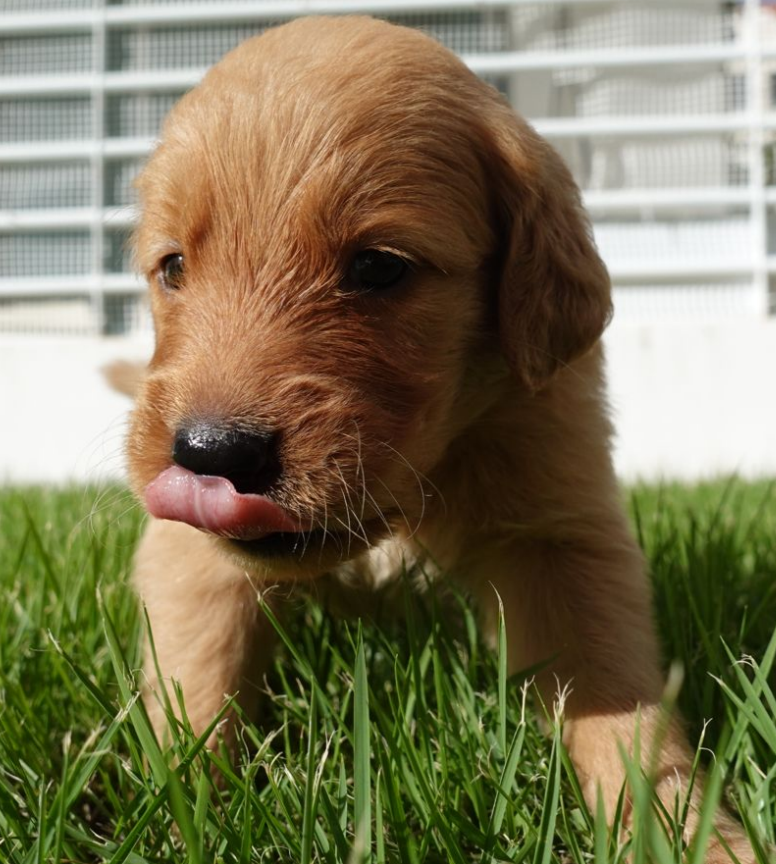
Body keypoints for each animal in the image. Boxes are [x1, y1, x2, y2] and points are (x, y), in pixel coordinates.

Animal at [130, 16, 756, 860]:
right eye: (173, 268)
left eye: (378, 267)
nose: (210, 456)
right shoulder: (186, 552)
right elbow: (196, 679)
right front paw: (183, 811)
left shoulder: (557, 519)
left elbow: (615, 692)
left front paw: (682, 827)